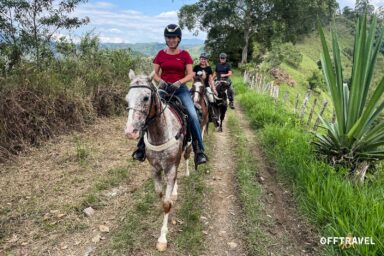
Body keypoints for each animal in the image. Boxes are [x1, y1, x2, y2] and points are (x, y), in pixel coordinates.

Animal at [124, 70, 192, 252]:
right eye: (127, 98)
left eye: (146, 97)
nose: (130, 132)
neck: (160, 133)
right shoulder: (155, 169)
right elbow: (161, 195)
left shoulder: (170, 168)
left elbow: (166, 204)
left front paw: (162, 238)